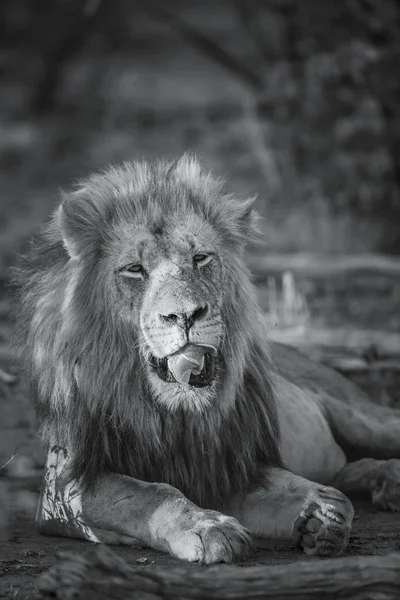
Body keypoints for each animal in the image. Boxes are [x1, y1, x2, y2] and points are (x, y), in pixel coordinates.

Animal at [10, 155, 400, 564]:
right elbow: (149, 495)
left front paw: (322, 514)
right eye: (135, 269)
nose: (185, 315)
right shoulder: (65, 487)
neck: (176, 415)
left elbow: (310, 491)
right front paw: (208, 527)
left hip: (362, 419)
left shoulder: (234, 468)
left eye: (200, 258)